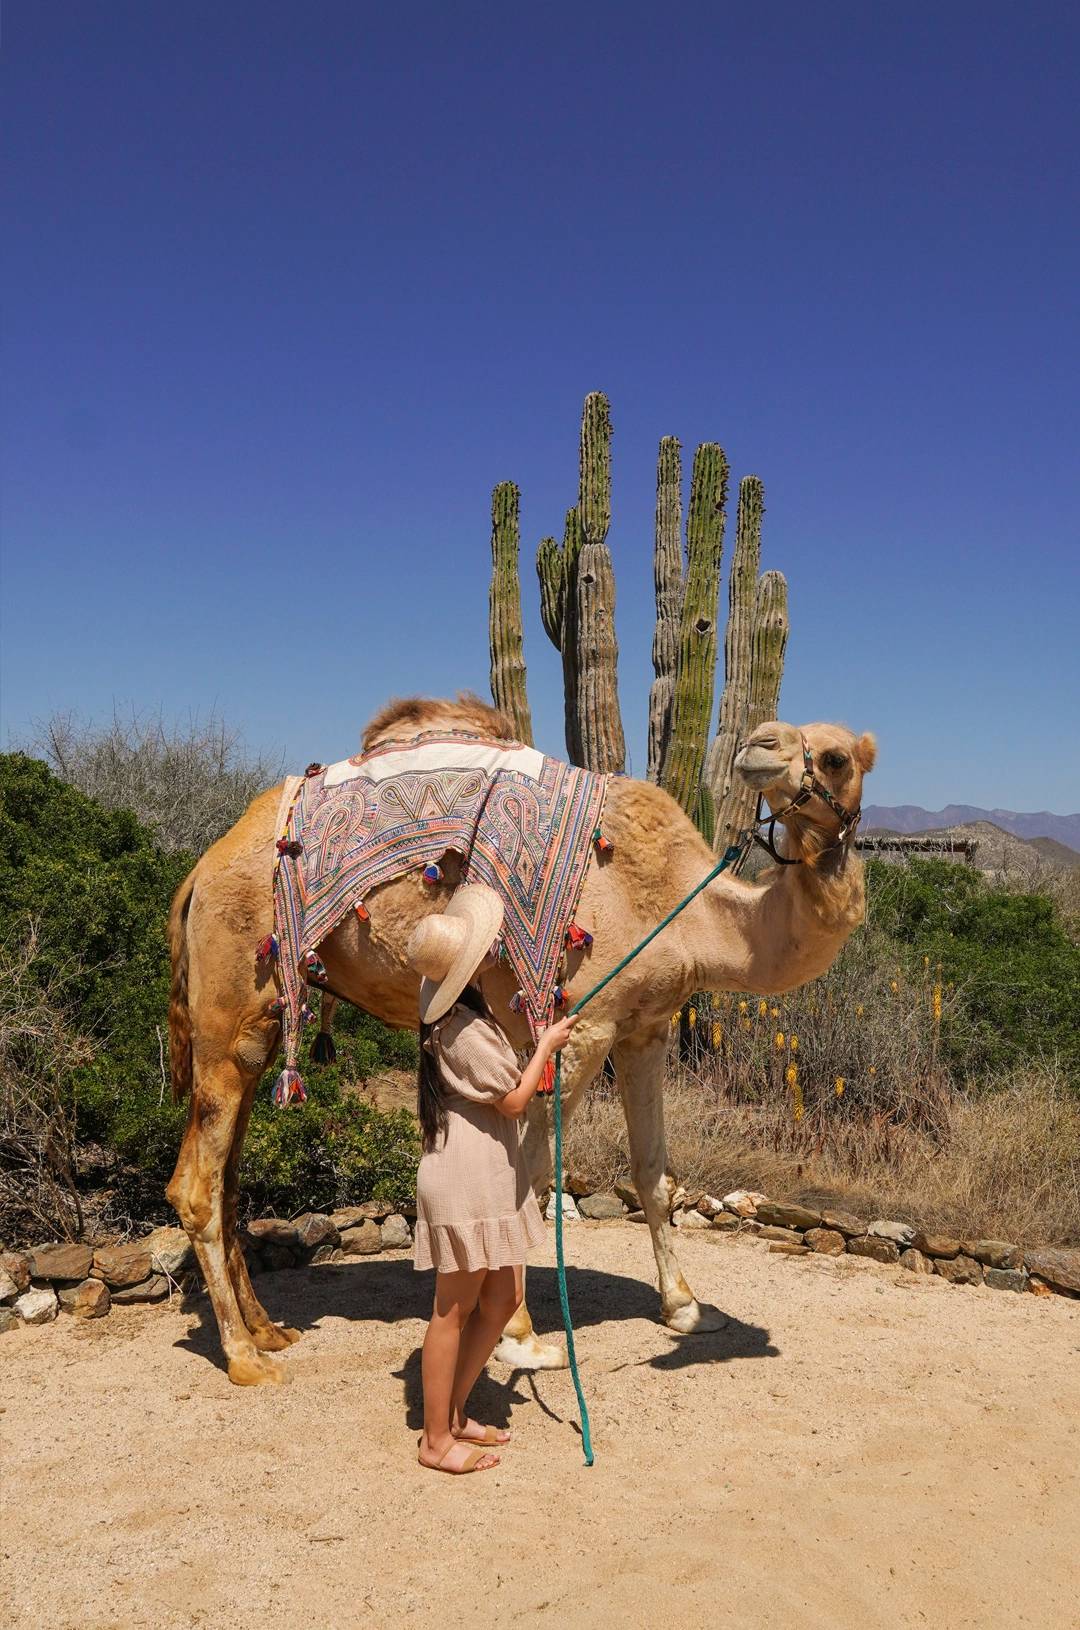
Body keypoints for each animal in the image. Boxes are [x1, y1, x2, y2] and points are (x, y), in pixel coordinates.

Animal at [166, 695, 876, 1385]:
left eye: (837, 756)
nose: (759, 744)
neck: (680, 904)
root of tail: (199, 871)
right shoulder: (583, 1026)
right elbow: (528, 1177)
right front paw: (522, 1336)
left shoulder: (645, 1027)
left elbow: (653, 1172)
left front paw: (686, 1307)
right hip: (228, 1006)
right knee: (196, 1186)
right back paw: (244, 1357)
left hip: (260, 1020)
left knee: (228, 1178)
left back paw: (268, 1330)